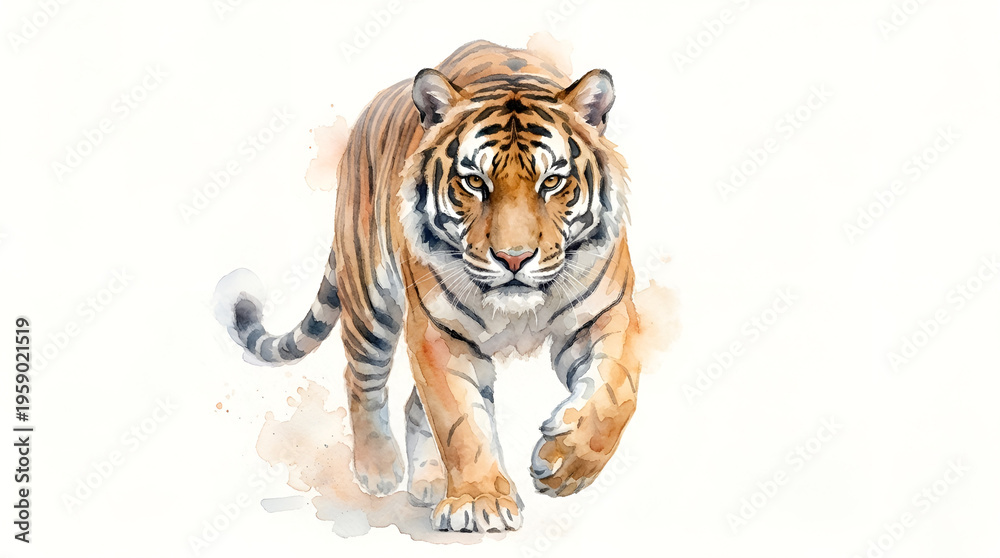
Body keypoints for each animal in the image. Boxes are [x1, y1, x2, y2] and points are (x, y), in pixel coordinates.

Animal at [217, 39, 642, 533]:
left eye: (552, 181)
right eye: (474, 182)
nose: (514, 258)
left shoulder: (607, 313)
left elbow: (616, 394)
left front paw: (562, 466)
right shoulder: (439, 331)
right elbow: (460, 422)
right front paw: (480, 501)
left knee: (409, 404)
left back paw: (429, 484)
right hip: (370, 304)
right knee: (362, 381)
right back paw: (379, 470)